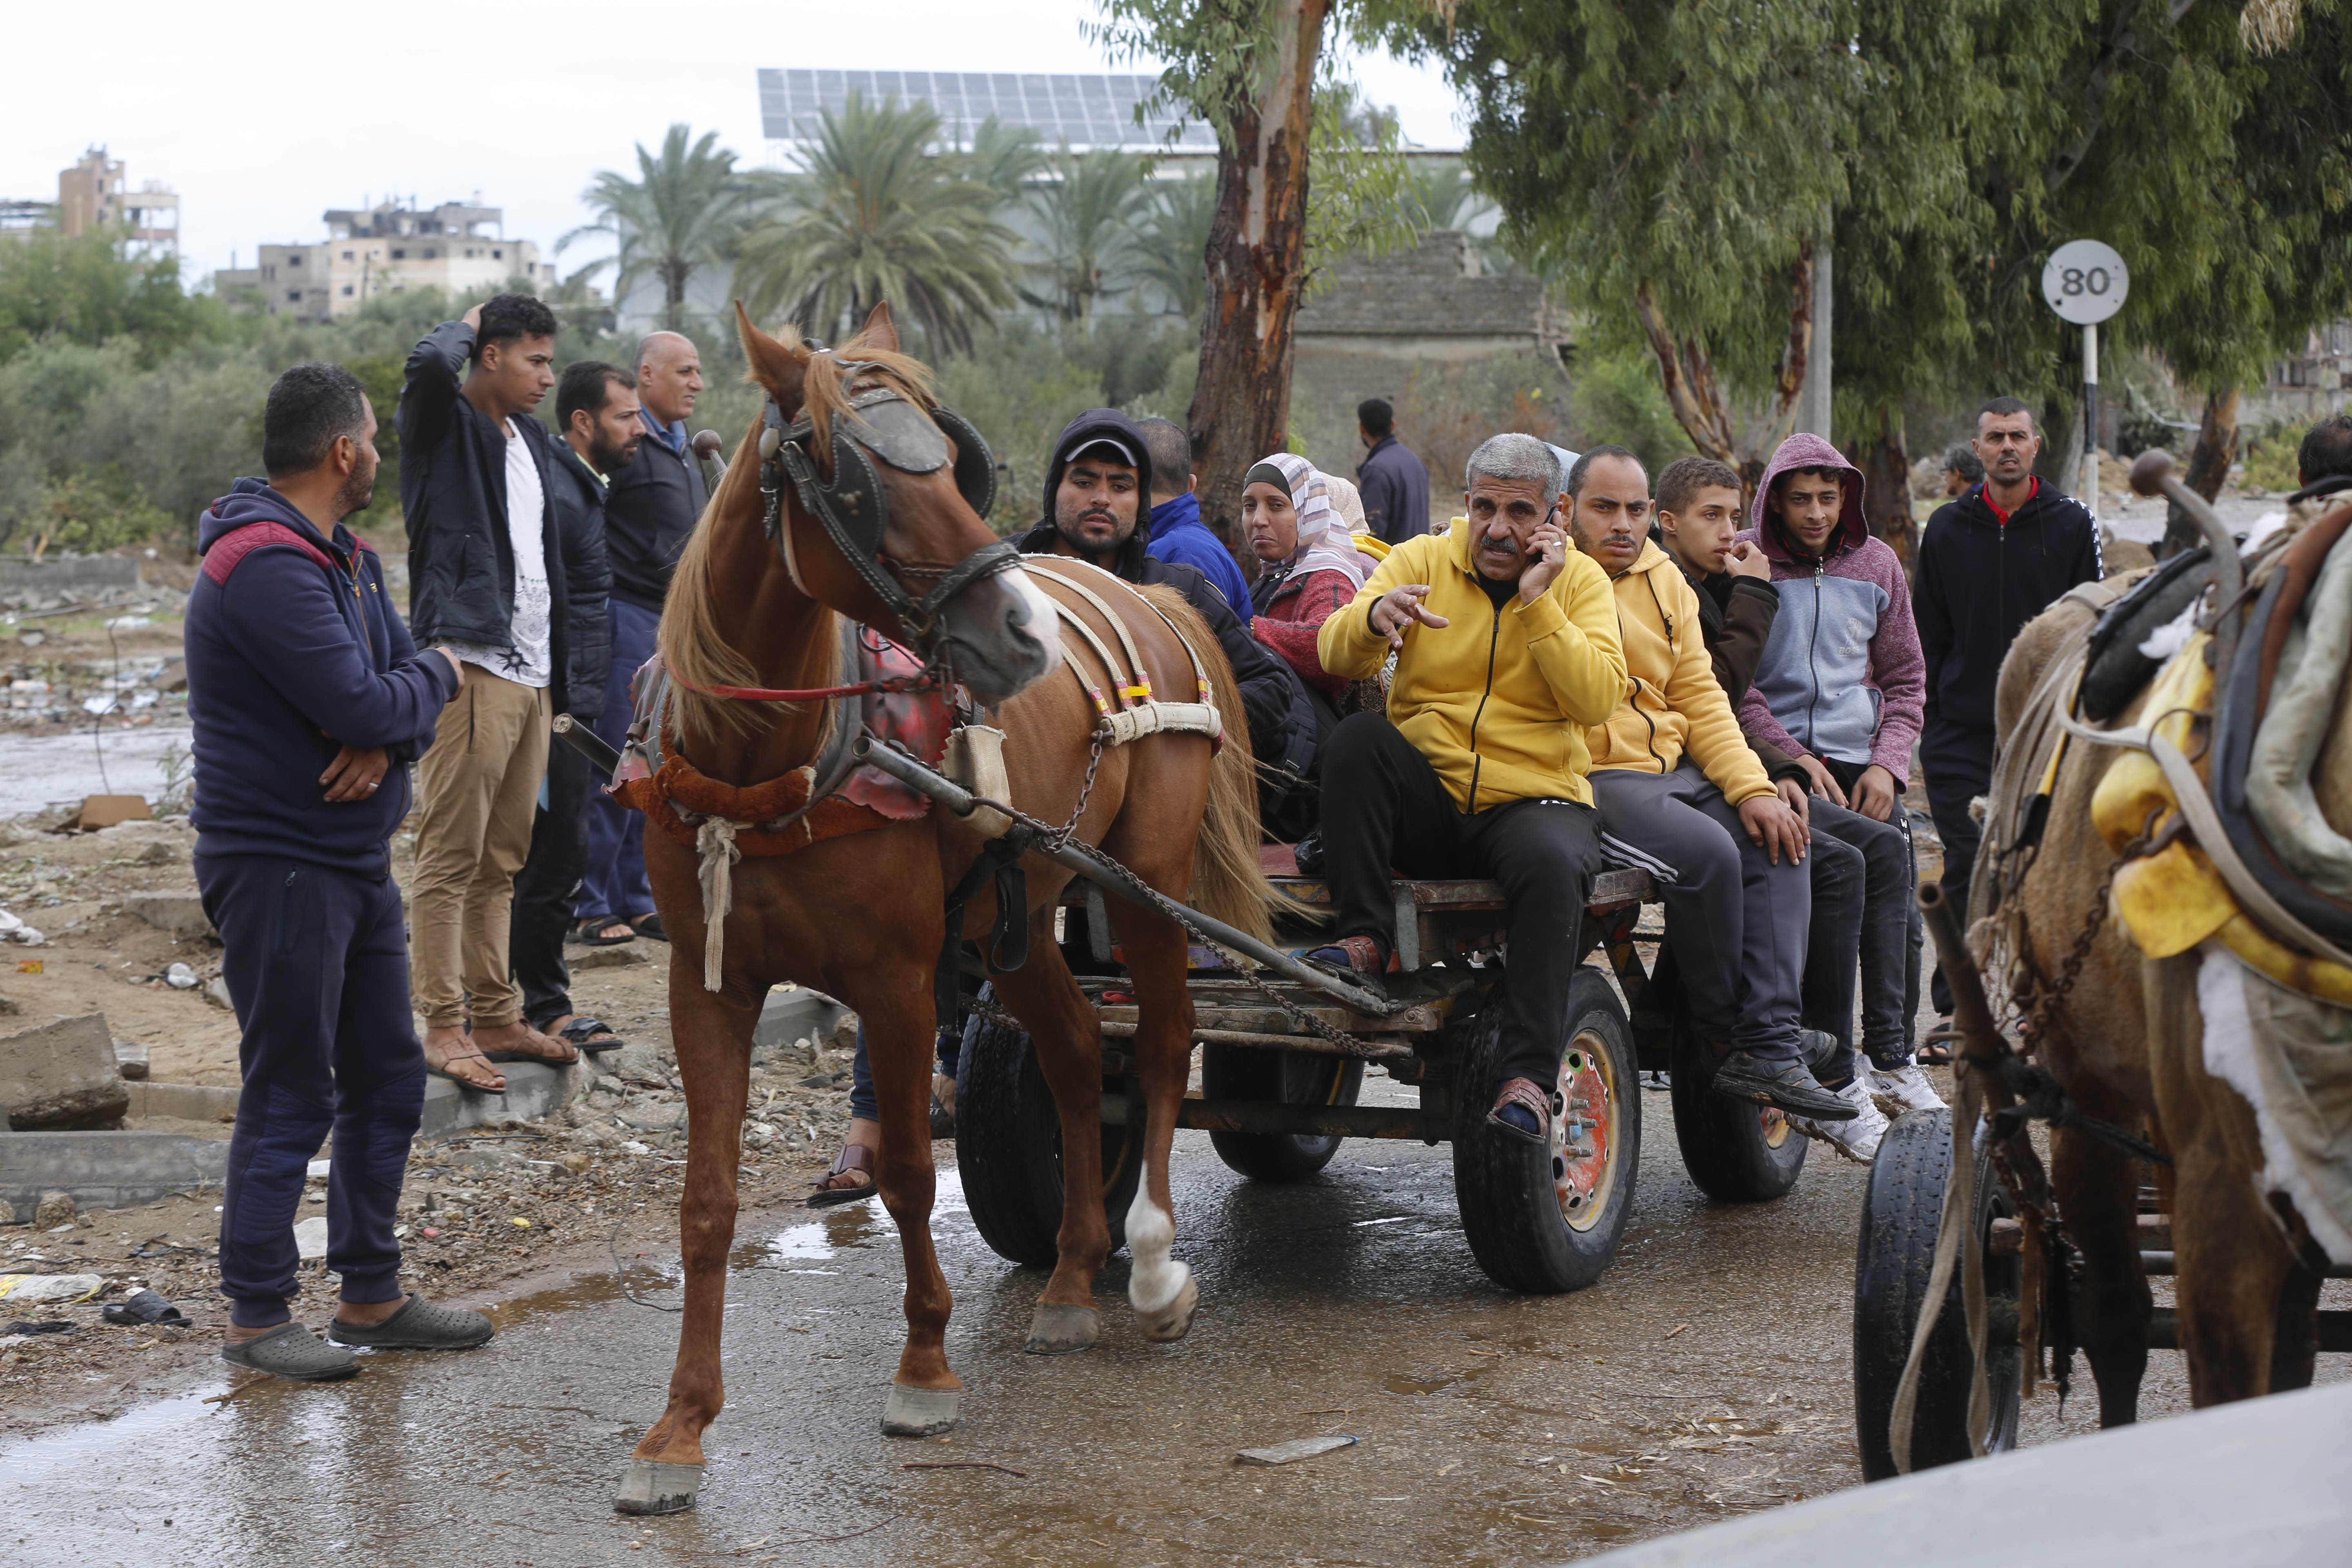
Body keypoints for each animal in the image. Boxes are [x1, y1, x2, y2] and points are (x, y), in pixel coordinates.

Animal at [607, 301, 1270, 1514]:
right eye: (852, 474)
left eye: (950, 459)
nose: (1024, 632)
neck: (772, 762)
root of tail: (1147, 596)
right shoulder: (706, 981)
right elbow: (707, 1201)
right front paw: (677, 1427)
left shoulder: (896, 980)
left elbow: (914, 1172)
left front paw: (923, 1367)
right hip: (1015, 920)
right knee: (1072, 1052)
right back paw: (1070, 1274)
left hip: (1142, 884)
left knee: (1161, 1042)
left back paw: (1152, 1264)